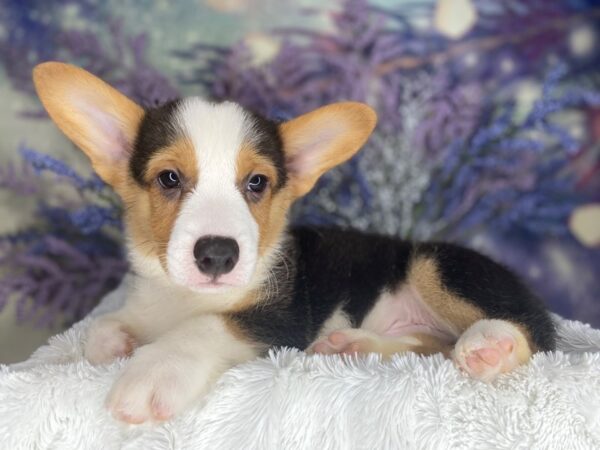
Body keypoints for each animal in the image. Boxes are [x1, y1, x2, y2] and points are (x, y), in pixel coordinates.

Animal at [32, 61, 556, 424]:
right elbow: (102, 327)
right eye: (169, 178)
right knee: (434, 345)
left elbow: (204, 328)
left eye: (257, 183)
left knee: (531, 332)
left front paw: (153, 371)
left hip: (435, 264)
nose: (218, 255)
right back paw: (354, 346)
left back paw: (492, 345)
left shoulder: (279, 319)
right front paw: (117, 341)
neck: (182, 297)